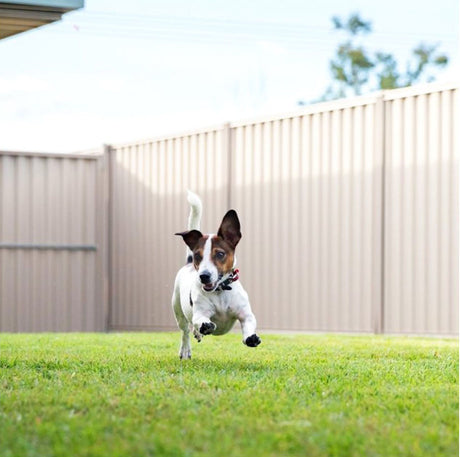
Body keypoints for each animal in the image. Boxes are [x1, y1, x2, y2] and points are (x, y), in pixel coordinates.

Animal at [172, 191, 260, 358]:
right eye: (198, 255)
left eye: (220, 254)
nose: (204, 276)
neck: (220, 291)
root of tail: (188, 264)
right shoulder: (200, 313)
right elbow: (199, 320)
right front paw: (204, 326)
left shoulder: (245, 314)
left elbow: (248, 323)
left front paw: (250, 337)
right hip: (177, 309)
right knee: (185, 330)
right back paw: (186, 349)